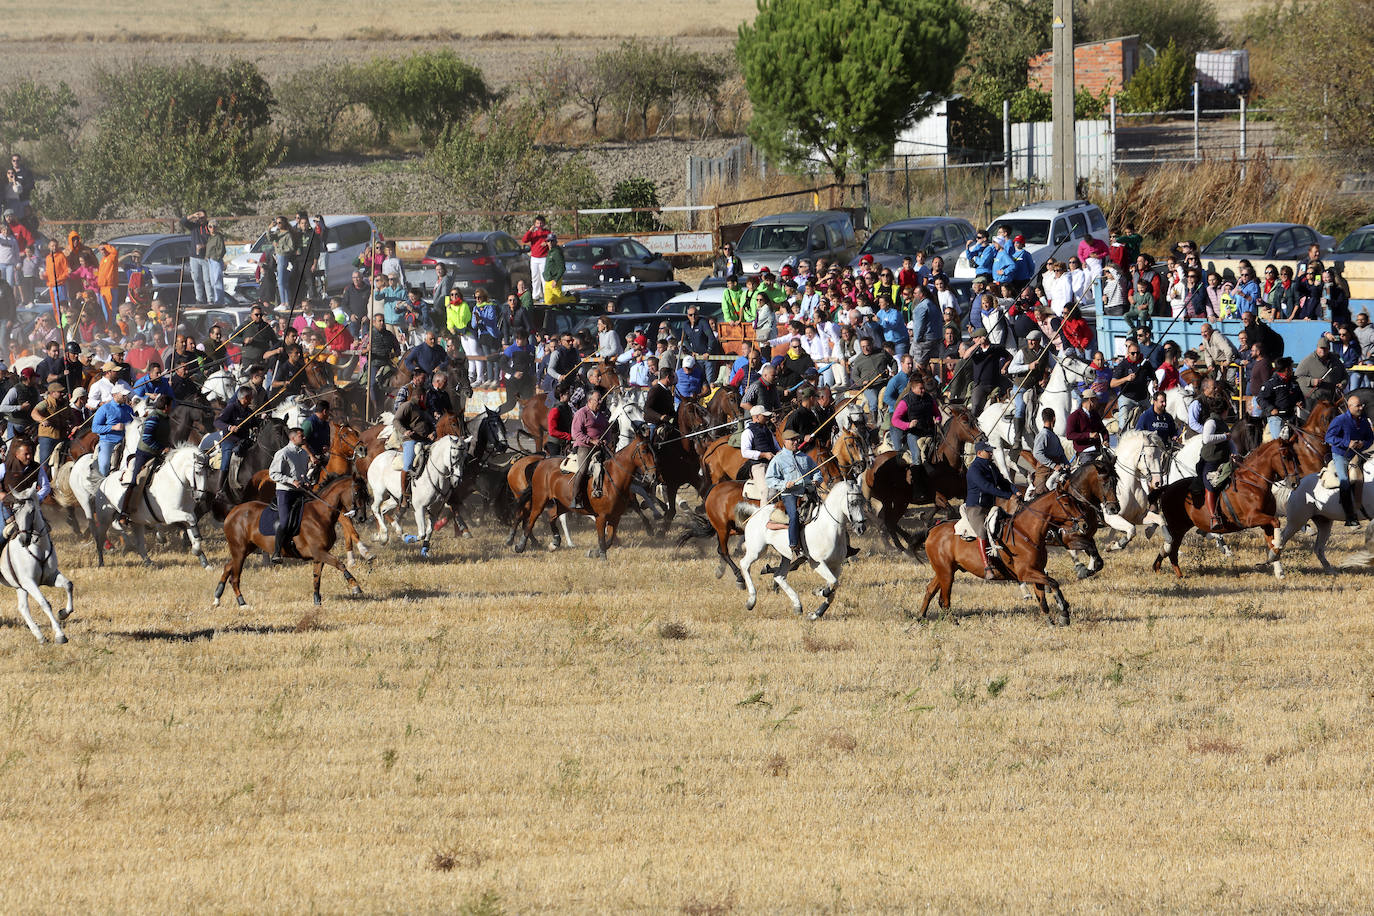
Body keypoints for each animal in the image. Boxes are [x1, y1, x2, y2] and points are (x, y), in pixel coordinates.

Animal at [0, 486, 75, 645]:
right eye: (14, 511)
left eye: (32, 511)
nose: (23, 539)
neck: (38, 548)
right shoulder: (29, 582)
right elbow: (44, 603)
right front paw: (60, 635)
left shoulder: (50, 577)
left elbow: (68, 585)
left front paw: (63, 613)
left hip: (19, 587)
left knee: (23, 608)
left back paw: (39, 636)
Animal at [211, 472, 370, 609]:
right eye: (357, 492)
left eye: (366, 492)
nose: (362, 518)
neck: (320, 514)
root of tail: (233, 511)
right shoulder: (319, 552)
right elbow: (340, 564)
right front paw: (355, 587)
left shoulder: (319, 555)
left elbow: (316, 578)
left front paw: (317, 601)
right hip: (239, 550)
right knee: (235, 577)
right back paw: (242, 603)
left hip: (245, 549)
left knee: (227, 567)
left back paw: (217, 599)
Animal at [516, 431, 662, 560]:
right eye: (644, 451)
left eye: (654, 450)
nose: (653, 475)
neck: (612, 479)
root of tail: (540, 463)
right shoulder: (601, 517)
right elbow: (602, 539)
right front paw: (602, 557)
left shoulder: (615, 517)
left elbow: (609, 540)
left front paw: (593, 553)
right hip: (540, 500)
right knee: (531, 520)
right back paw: (520, 546)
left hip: (563, 504)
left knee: (552, 516)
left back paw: (555, 542)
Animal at [741, 480, 868, 623]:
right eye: (853, 502)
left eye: (863, 501)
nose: (861, 528)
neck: (828, 527)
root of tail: (755, 512)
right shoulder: (817, 563)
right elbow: (832, 584)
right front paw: (818, 591)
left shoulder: (836, 566)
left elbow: (833, 588)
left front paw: (815, 614)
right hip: (757, 550)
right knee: (744, 564)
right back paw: (751, 601)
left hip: (785, 556)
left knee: (779, 576)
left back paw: (797, 605)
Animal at [1148, 431, 1297, 576]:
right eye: (1285, 456)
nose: (1295, 483)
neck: (1253, 483)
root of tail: (1167, 487)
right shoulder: (1251, 518)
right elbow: (1276, 521)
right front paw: (1278, 546)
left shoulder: (1265, 523)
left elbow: (1271, 538)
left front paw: (1278, 568)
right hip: (1177, 527)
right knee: (1172, 549)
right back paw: (1177, 574)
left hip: (1181, 527)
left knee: (1169, 548)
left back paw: (1160, 569)